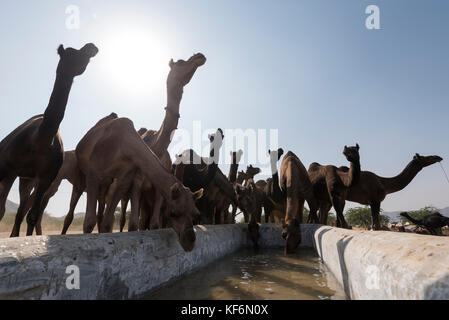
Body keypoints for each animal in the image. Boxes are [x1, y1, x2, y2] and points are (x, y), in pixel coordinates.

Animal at [0, 43, 98, 236]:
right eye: (71, 53)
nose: (91, 47)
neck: (40, 139)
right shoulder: (8, 169)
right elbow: (2, 210)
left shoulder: (45, 177)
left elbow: (32, 216)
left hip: (27, 179)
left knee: (21, 211)